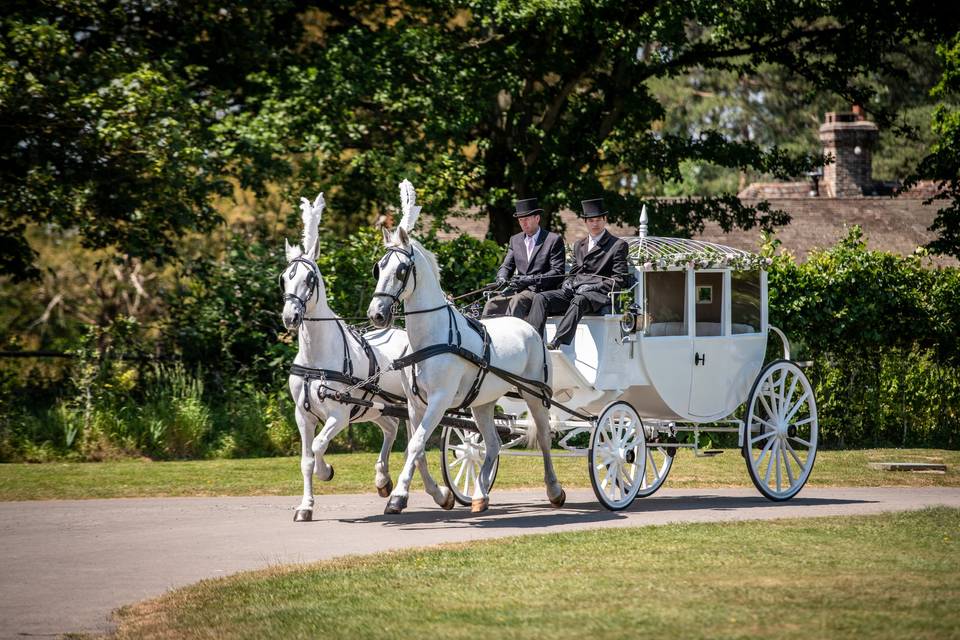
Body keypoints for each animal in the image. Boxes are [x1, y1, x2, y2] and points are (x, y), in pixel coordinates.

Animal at [282, 194, 454, 520]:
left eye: (310, 278)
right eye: (284, 277)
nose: (290, 316)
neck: (316, 359)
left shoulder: (338, 415)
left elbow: (320, 447)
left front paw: (327, 471)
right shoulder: (302, 415)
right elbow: (306, 460)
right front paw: (305, 506)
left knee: (415, 446)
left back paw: (436, 494)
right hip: (379, 407)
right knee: (394, 431)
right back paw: (385, 480)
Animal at [366, 180, 564, 516]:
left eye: (402, 270)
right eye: (378, 268)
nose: (376, 314)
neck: (430, 340)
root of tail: (530, 329)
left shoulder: (440, 400)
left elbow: (417, 445)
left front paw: (399, 496)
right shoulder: (415, 404)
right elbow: (415, 449)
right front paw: (441, 495)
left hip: (535, 395)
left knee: (545, 439)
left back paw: (554, 490)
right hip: (482, 402)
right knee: (492, 443)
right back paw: (480, 495)